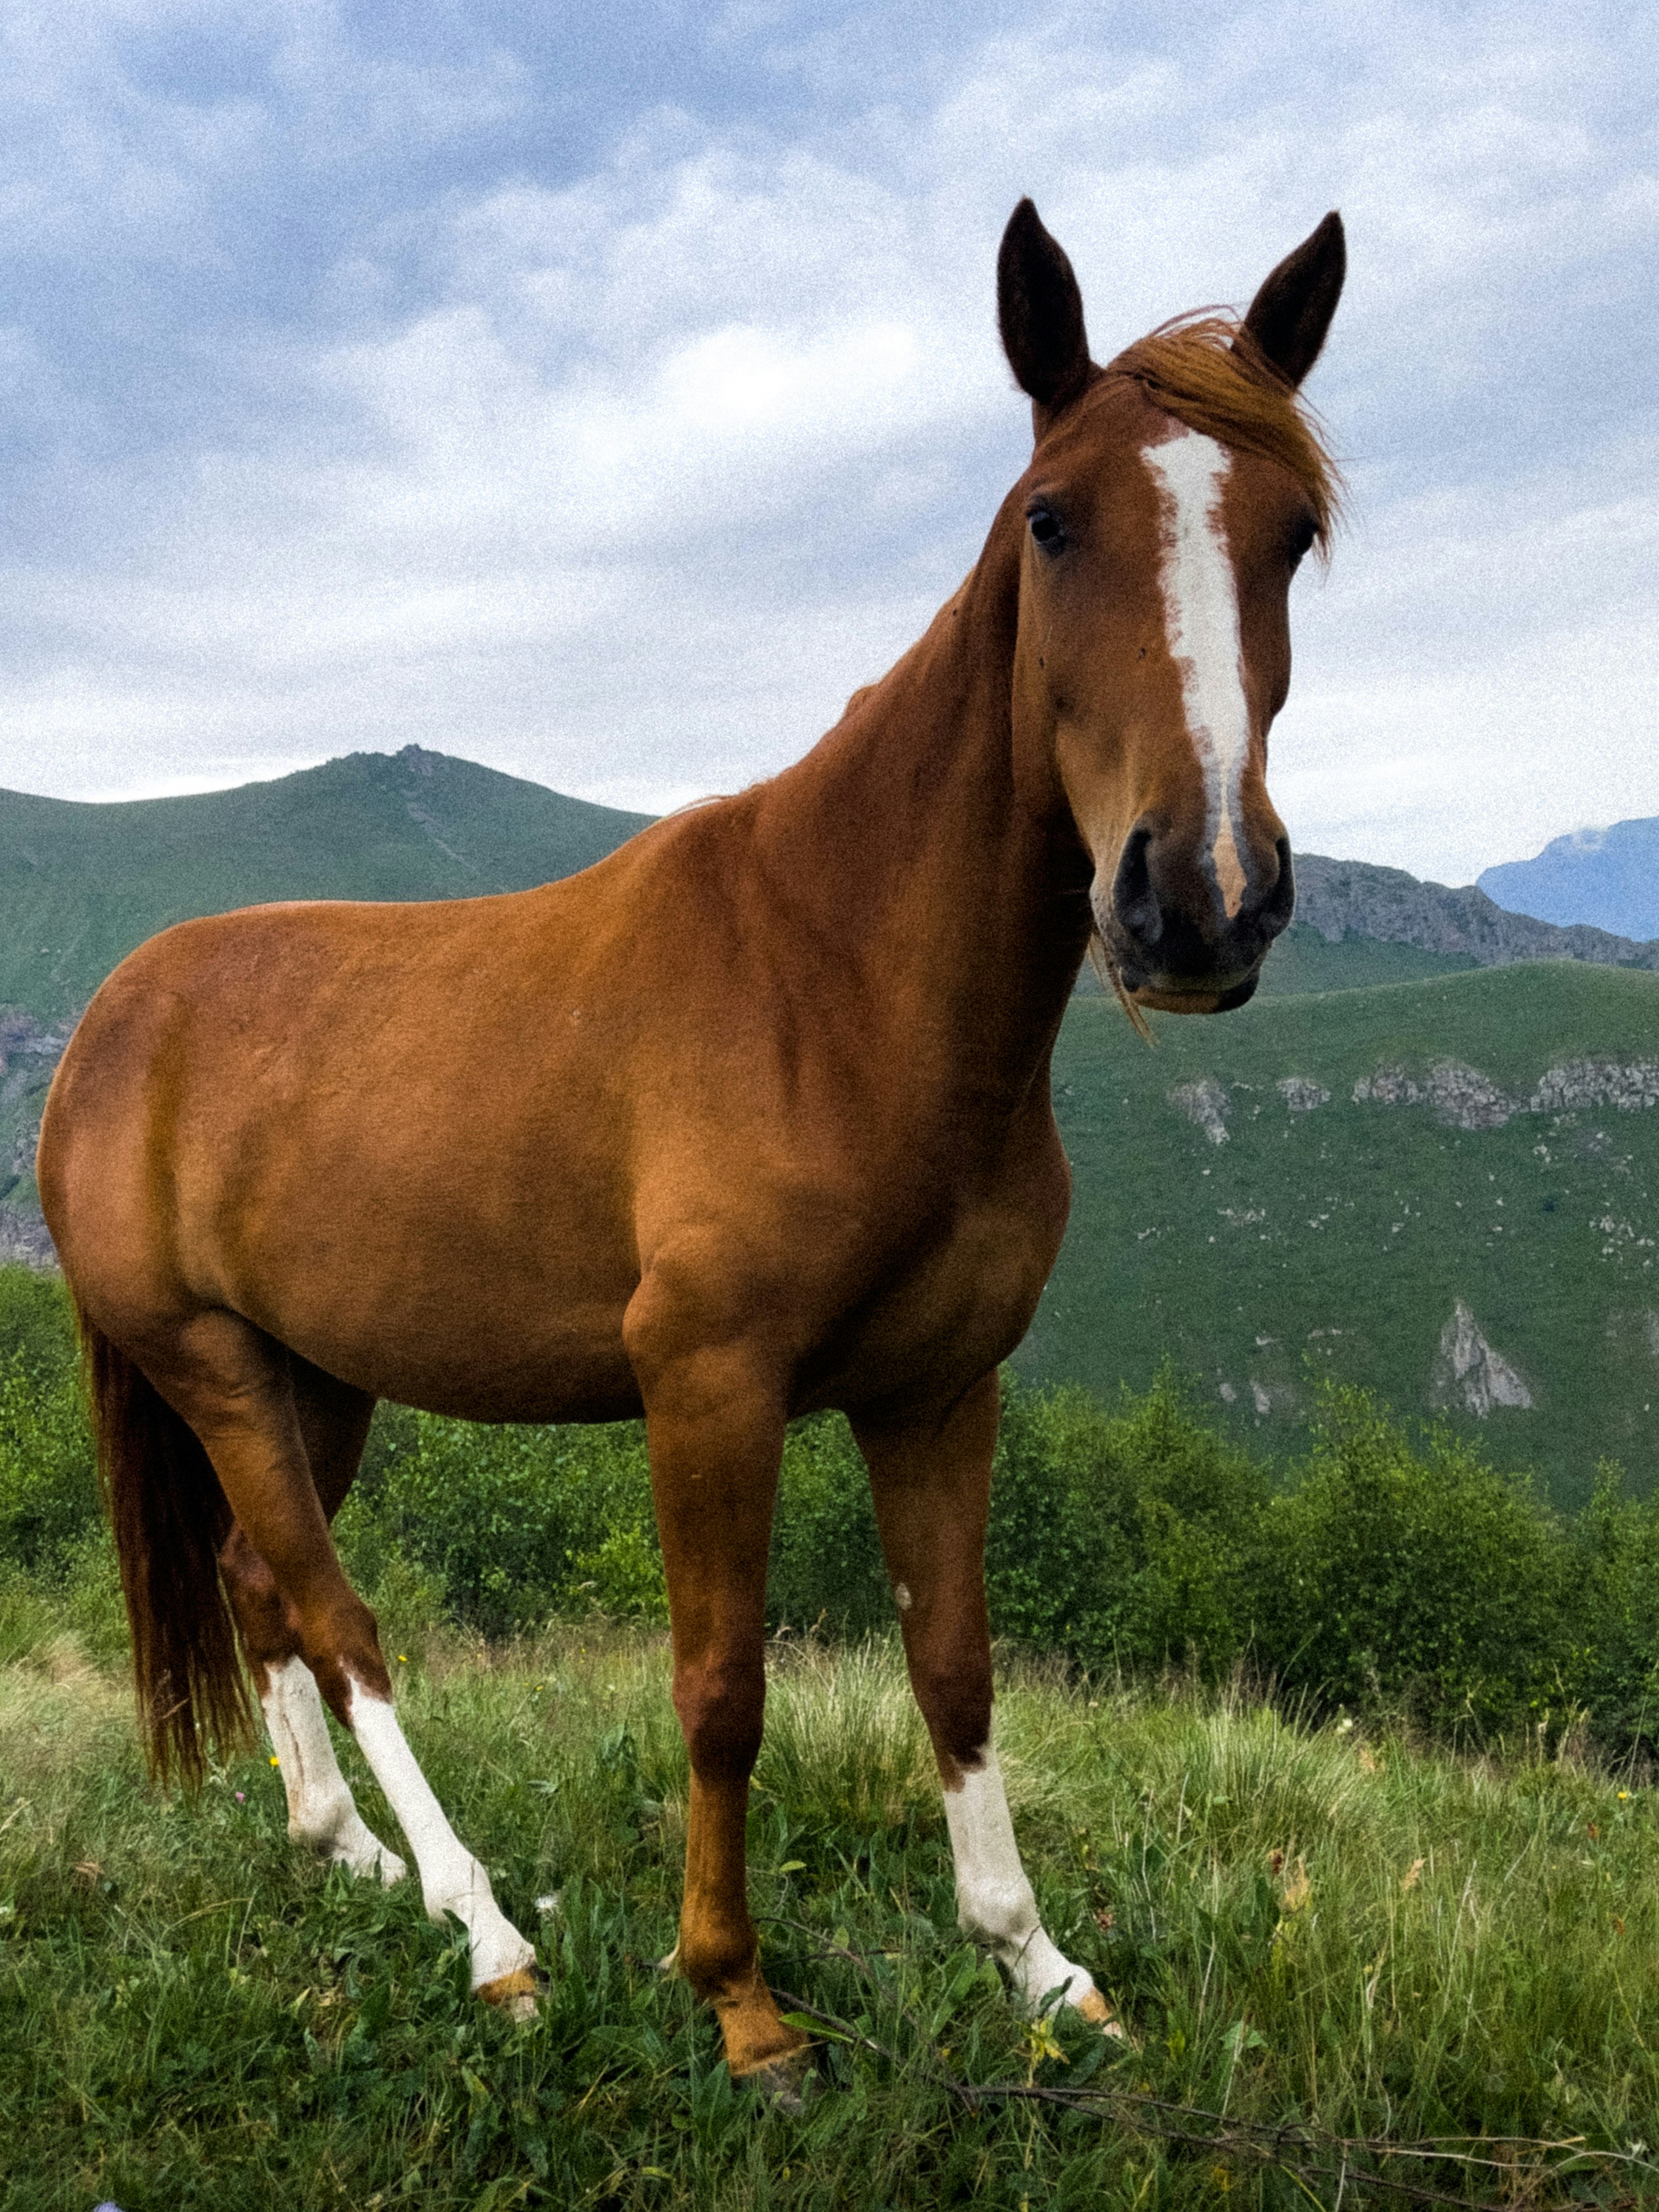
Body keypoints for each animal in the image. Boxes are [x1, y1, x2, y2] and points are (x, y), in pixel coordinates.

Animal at [39, 203, 1345, 2088]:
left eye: (1292, 533)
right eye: (1051, 517)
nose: (1199, 899)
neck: (842, 983)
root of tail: (112, 1024)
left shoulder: (936, 1389)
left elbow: (956, 1669)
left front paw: (1034, 1968)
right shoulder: (708, 1383)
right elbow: (720, 1686)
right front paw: (735, 1995)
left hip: (314, 1375)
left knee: (252, 1588)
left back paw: (349, 1852)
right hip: (207, 1361)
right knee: (339, 1616)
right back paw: (486, 1929)